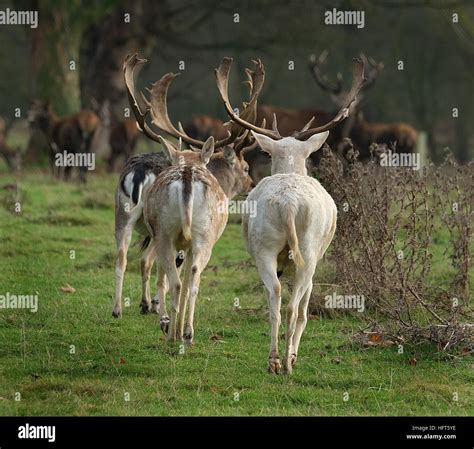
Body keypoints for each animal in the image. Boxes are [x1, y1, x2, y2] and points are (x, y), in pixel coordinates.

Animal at [111, 55, 256, 322]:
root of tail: (140, 171)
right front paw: (158, 304)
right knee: (150, 261)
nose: (251, 185)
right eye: (246, 167)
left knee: (123, 256)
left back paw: (119, 309)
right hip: (161, 226)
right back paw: (150, 306)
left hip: (123, 212)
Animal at [215, 55, 366, 372]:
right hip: (306, 248)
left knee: (275, 295)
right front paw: (294, 353)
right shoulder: (317, 257)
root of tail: (288, 204)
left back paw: (275, 360)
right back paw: (286, 361)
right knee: (293, 305)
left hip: (266, 246)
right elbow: (306, 309)